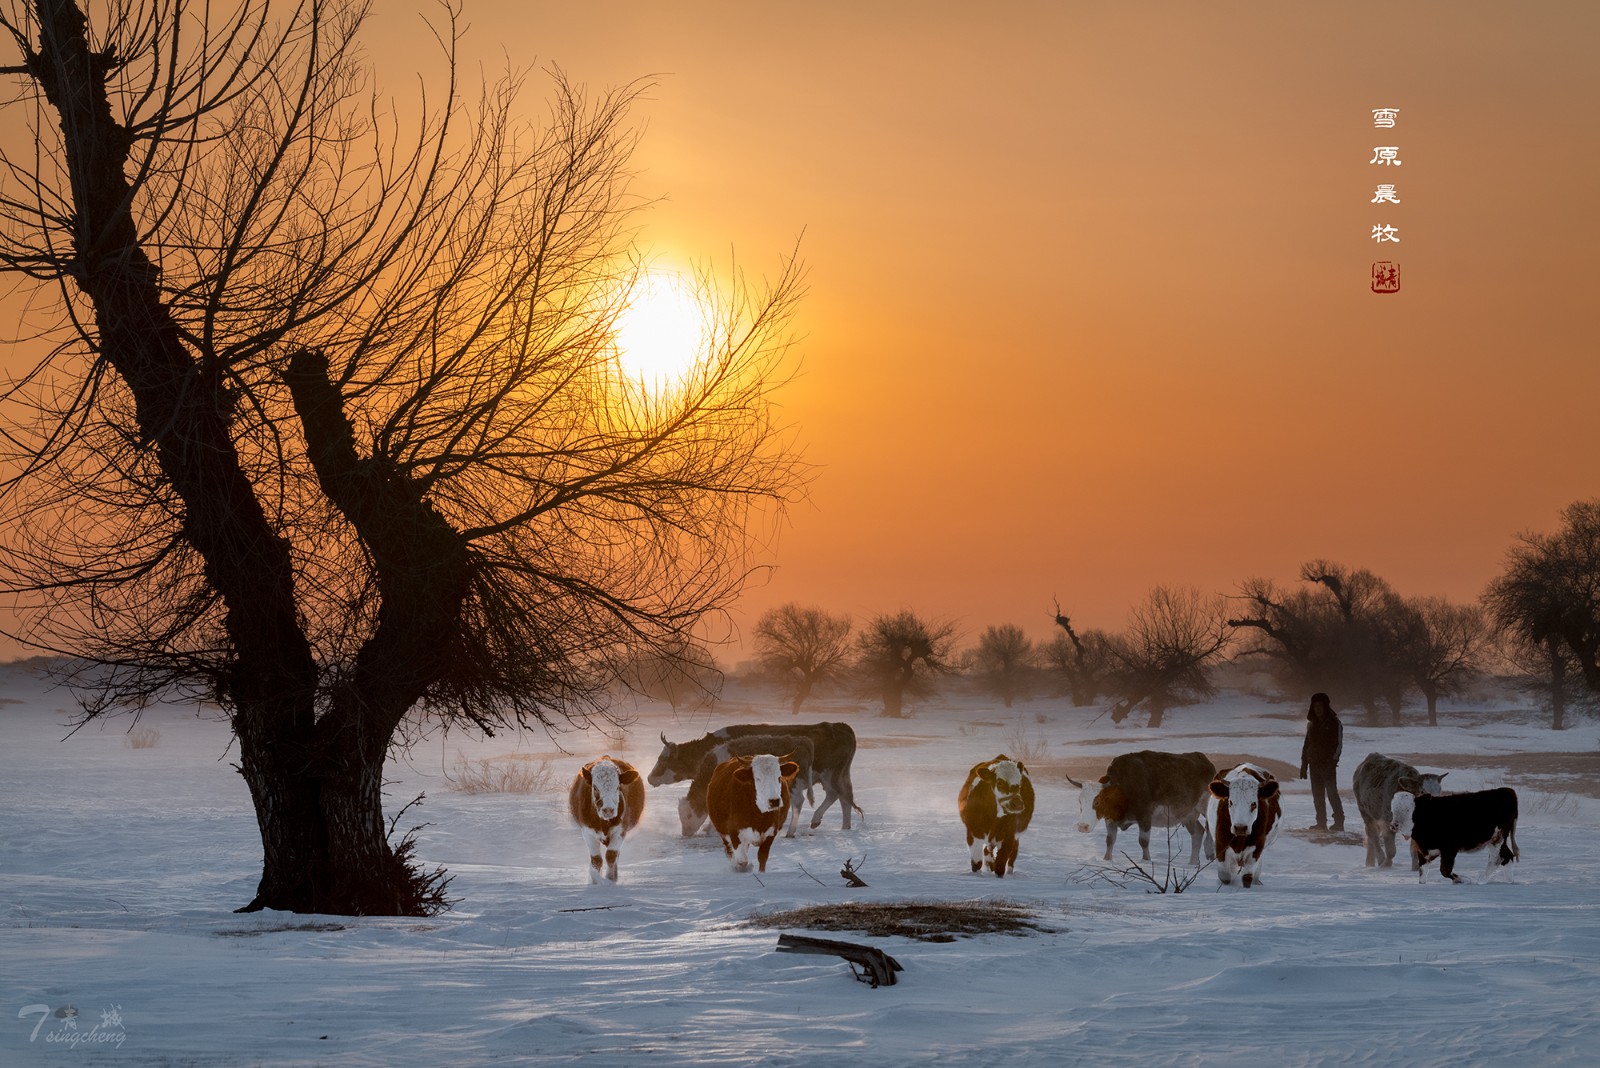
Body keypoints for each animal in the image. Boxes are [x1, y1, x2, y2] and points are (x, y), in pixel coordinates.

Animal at [569, 754, 643, 882]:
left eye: (618, 787)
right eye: (595, 787)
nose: (608, 810)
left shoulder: (621, 830)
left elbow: (611, 855)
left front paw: (610, 880)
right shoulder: (587, 830)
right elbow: (596, 860)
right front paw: (595, 881)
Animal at [678, 735, 819, 844]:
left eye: (689, 815)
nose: (685, 833)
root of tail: (803, 740)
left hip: (795, 783)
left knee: (798, 801)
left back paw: (790, 832)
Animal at [1068, 751, 1216, 869]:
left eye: (1098, 801)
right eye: (1080, 801)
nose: (1082, 826)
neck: (1123, 789)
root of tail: (1204, 760)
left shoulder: (1145, 817)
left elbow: (1143, 841)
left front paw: (1146, 861)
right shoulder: (1111, 819)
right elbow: (1110, 840)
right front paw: (1106, 860)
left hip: (1205, 804)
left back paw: (1209, 851)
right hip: (1188, 814)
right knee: (1198, 832)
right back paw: (1192, 863)